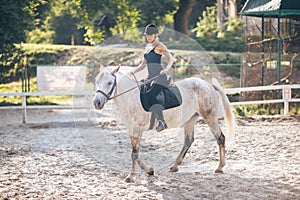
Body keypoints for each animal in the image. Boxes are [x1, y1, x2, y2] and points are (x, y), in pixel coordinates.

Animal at [94, 66, 237, 183]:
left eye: (109, 82)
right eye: (97, 81)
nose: (97, 103)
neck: (130, 97)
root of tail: (208, 85)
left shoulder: (138, 129)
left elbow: (134, 153)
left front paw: (131, 176)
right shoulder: (132, 129)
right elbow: (136, 152)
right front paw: (149, 170)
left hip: (210, 117)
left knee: (220, 138)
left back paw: (220, 167)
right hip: (190, 120)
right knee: (188, 140)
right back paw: (174, 166)